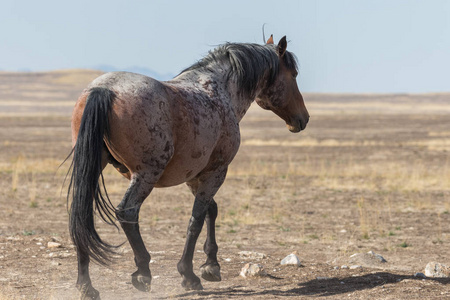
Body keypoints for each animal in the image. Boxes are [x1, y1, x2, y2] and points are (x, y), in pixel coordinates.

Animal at [67, 35, 310, 298]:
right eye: (294, 74)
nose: (303, 118)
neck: (220, 90)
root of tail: (103, 90)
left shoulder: (194, 176)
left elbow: (211, 210)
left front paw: (211, 266)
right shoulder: (216, 171)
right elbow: (196, 219)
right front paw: (190, 274)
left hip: (93, 168)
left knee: (80, 215)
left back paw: (86, 285)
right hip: (146, 174)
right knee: (127, 212)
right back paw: (142, 272)